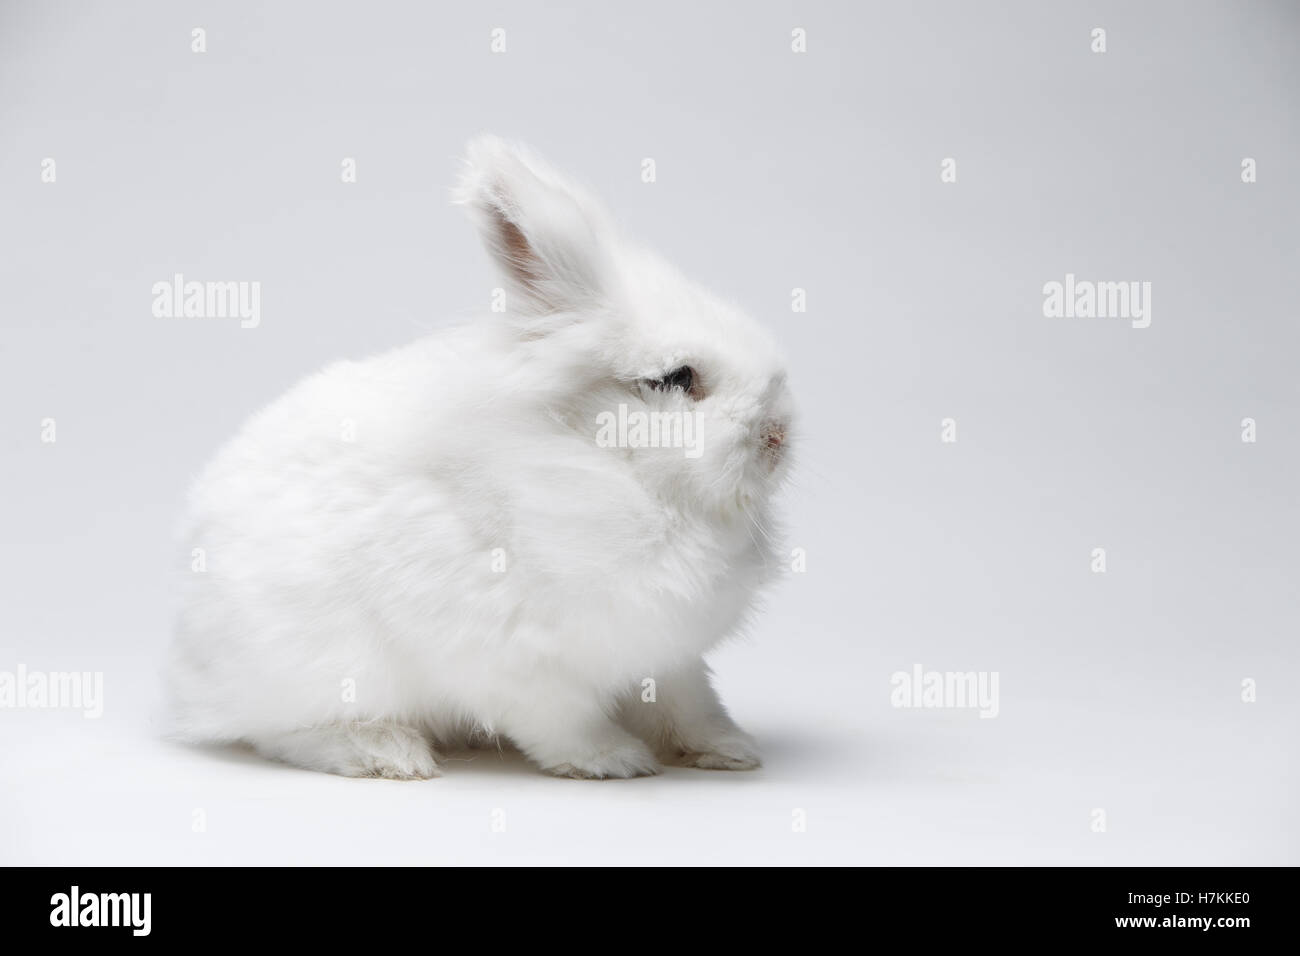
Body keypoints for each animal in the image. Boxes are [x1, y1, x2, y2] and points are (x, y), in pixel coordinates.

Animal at [164, 136, 795, 779]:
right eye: (676, 378)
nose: (779, 435)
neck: (596, 466)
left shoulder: (669, 655)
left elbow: (688, 704)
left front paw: (727, 751)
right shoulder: (517, 655)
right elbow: (562, 720)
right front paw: (611, 760)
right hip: (316, 666)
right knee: (284, 732)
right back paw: (390, 753)